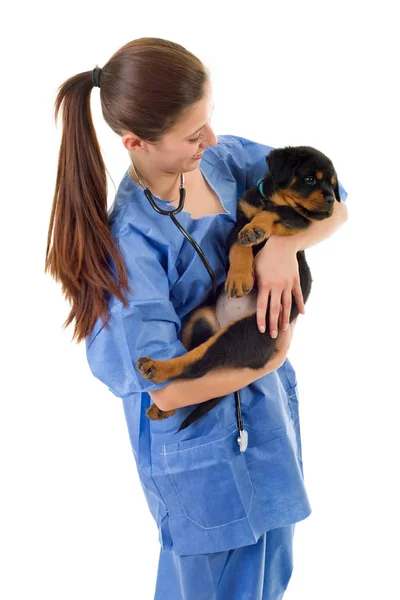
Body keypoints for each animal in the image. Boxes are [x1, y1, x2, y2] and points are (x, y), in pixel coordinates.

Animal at [135, 148, 340, 434]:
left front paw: (256, 229)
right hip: (199, 319)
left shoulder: (298, 221)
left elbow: (275, 214)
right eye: (310, 179)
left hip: (243, 333)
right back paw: (162, 401)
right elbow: (239, 248)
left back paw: (156, 370)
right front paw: (239, 276)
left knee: (199, 365)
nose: (332, 200)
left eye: (333, 185)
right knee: (196, 370)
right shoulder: (235, 227)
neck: (268, 199)